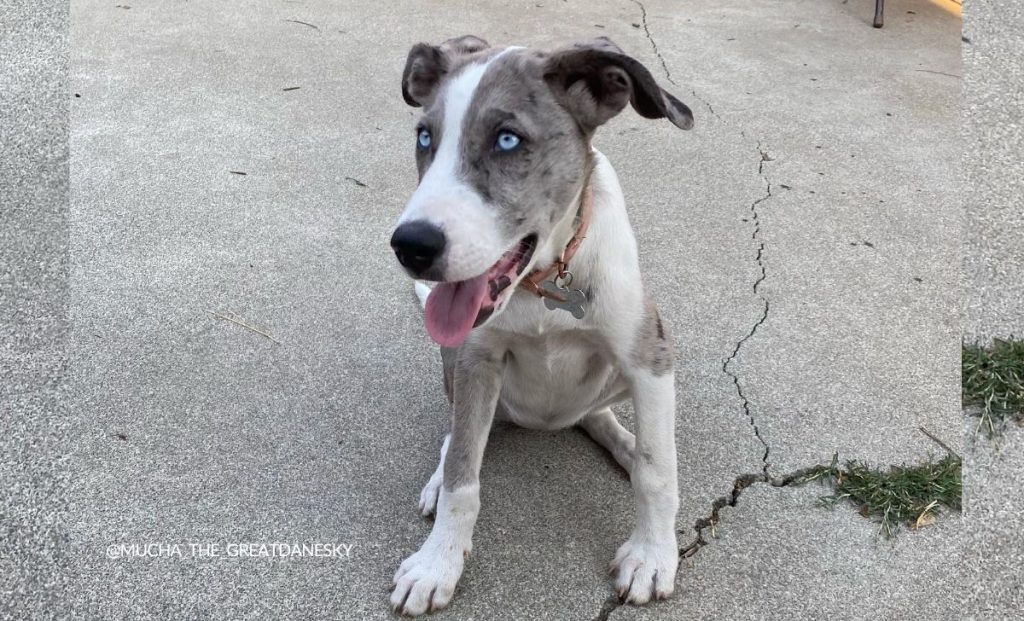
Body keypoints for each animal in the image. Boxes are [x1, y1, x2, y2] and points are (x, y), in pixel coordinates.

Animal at [387, 35, 692, 618]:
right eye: (424, 137)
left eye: (508, 140)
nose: (410, 246)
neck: (544, 284)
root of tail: (547, 422)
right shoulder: (476, 358)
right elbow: (463, 474)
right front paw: (439, 562)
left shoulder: (650, 356)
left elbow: (657, 469)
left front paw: (651, 555)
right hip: (454, 366)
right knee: (458, 435)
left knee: (602, 421)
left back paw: (623, 444)